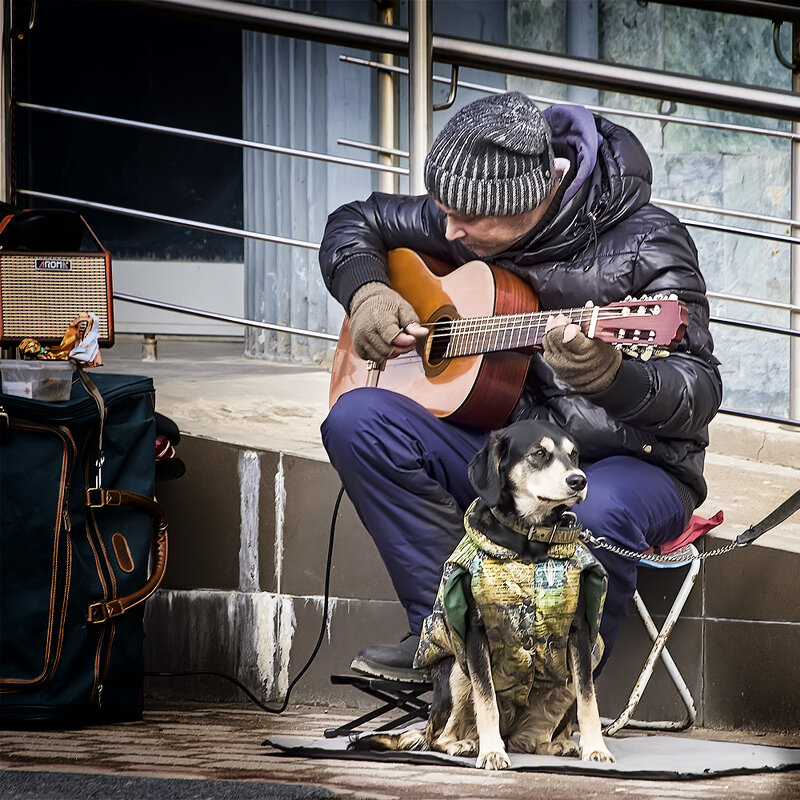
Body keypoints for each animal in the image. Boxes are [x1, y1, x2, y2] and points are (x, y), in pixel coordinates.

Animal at [350, 418, 612, 768]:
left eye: (573, 455)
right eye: (539, 453)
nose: (578, 480)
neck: (529, 541)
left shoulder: (579, 633)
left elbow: (588, 699)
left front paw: (596, 747)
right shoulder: (475, 633)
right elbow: (485, 700)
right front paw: (491, 752)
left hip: (570, 675)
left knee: (530, 738)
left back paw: (553, 745)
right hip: (456, 672)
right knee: (437, 736)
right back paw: (465, 744)